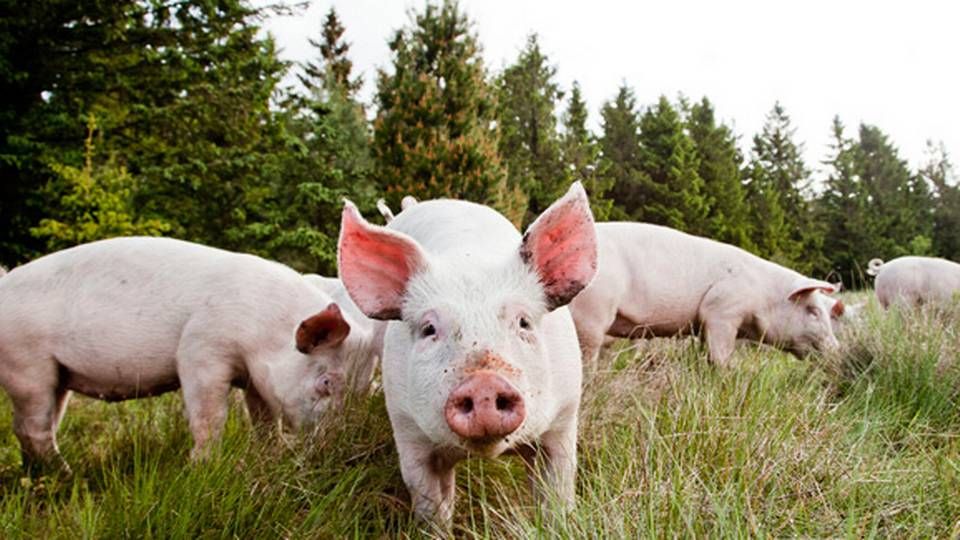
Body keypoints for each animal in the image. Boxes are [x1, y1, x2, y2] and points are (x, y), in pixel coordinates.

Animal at [0, 238, 374, 470]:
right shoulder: (201, 349)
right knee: (31, 427)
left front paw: (270, 452)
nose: (338, 447)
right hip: (26, 365)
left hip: (56, 375)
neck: (264, 328)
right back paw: (64, 473)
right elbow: (210, 415)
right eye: (326, 383)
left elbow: (265, 419)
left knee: (42, 424)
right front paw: (201, 465)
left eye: (362, 392)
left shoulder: (257, 379)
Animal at [336, 182, 592, 528]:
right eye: (429, 328)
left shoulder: (563, 420)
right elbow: (432, 506)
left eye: (523, 321)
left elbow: (557, 493)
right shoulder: (408, 431)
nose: (484, 384)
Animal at [568, 220, 840, 368]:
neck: (763, 296)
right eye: (813, 311)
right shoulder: (722, 311)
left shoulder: (703, 324)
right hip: (592, 312)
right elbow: (721, 354)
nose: (837, 348)